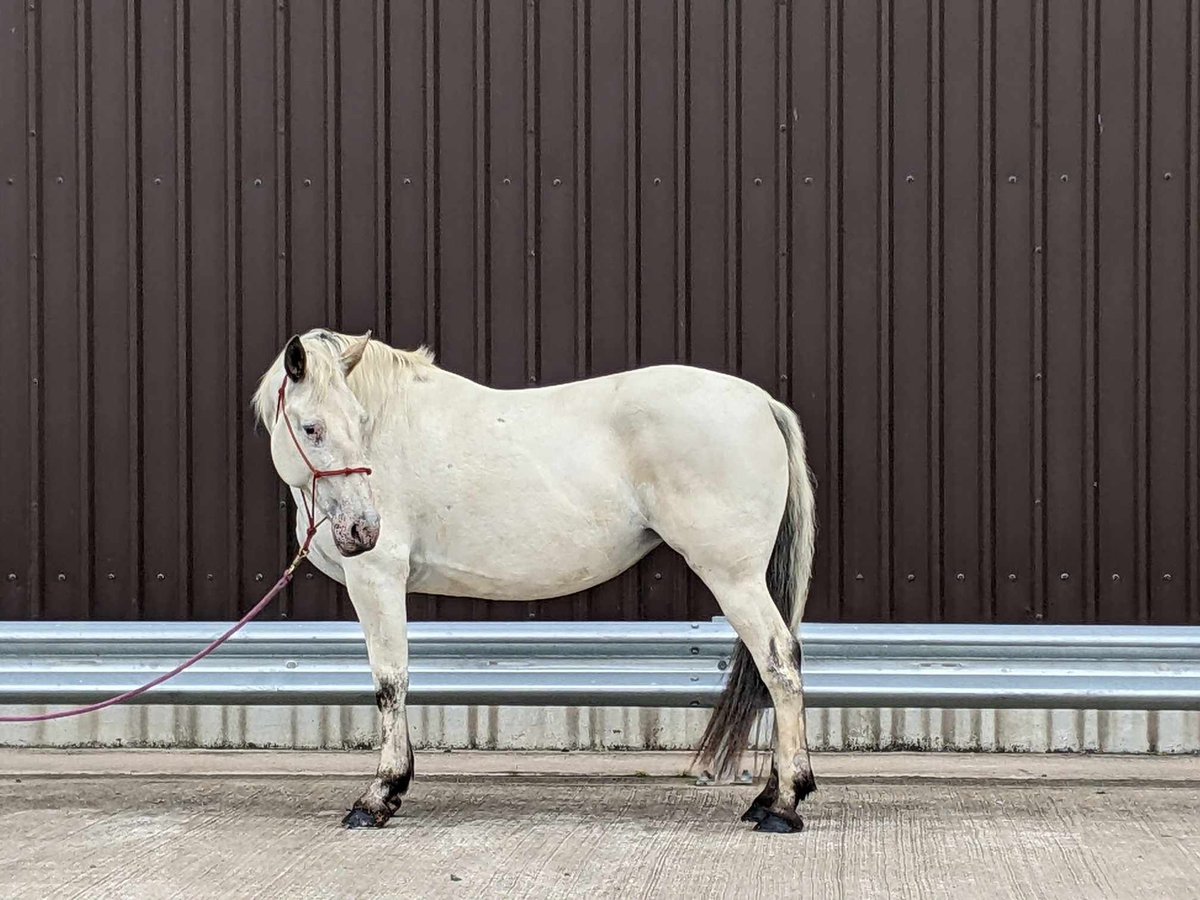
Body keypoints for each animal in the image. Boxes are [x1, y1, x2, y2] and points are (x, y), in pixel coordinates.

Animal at [252, 331, 816, 840]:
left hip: (734, 578)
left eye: (360, 422)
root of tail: (762, 403)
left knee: (779, 663)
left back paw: (783, 806)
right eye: (312, 427)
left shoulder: (376, 578)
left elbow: (391, 683)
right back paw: (771, 796)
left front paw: (379, 796)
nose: (363, 529)